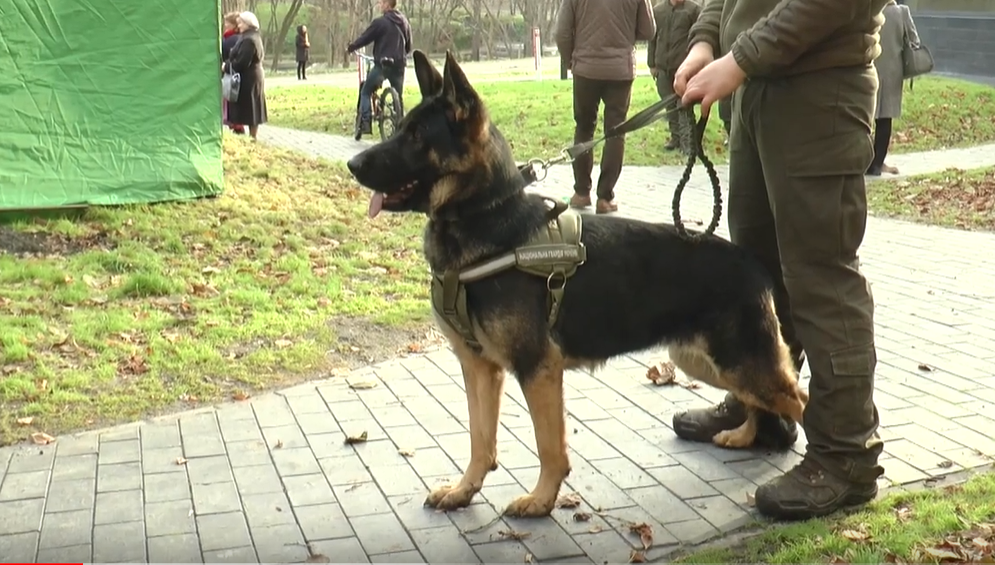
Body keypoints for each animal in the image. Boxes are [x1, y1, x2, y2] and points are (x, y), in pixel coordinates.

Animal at [346, 51, 804, 516]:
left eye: (417, 135)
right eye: (401, 127)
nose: (353, 164)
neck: (488, 217)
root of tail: (751, 262)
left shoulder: (538, 369)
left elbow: (549, 446)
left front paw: (541, 500)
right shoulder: (478, 368)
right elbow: (480, 438)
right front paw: (464, 490)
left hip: (740, 364)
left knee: (801, 400)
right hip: (704, 361)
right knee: (761, 399)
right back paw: (744, 436)